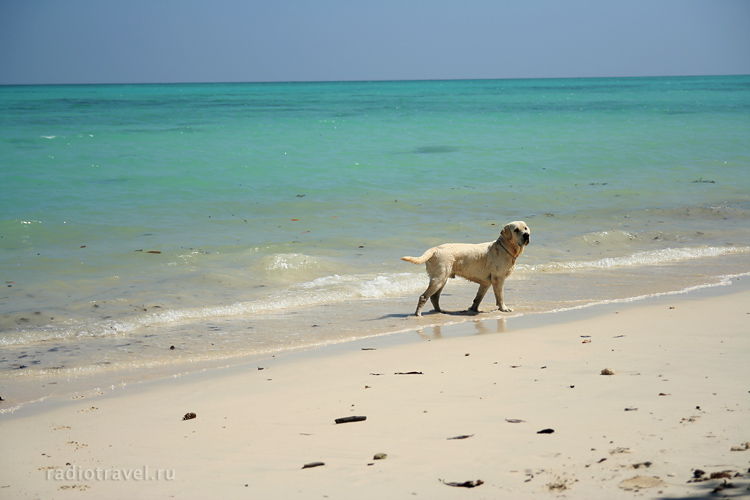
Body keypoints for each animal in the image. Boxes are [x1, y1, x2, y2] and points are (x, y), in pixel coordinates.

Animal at [402, 222, 532, 316]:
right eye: (516, 230)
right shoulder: (498, 279)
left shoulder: (486, 283)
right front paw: (504, 309)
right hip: (439, 278)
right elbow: (500, 297)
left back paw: (440, 311)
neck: (504, 247)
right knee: (424, 297)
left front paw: (474, 309)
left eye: (525, 228)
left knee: (434, 296)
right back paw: (418, 314)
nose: (526, 235)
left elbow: (478, 298)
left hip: (442, 279)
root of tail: (435, 249)